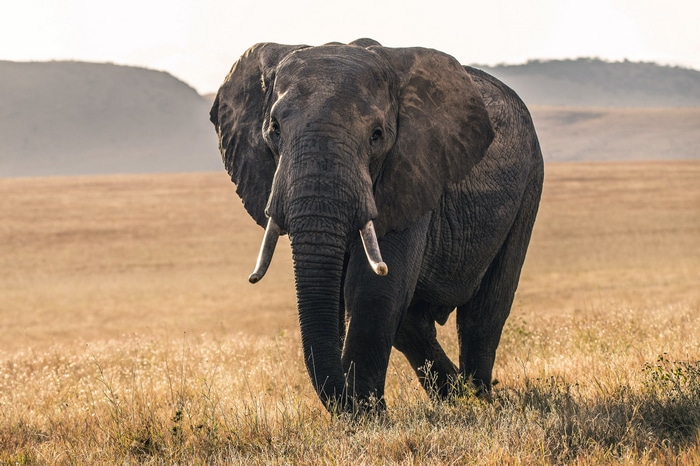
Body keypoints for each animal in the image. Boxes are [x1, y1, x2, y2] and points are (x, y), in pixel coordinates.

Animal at [210, 38, 543, 413]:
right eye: (274, 129)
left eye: (377, 135)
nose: (348, 400)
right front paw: (364, 412)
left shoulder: (411, 170)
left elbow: (374, 289)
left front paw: (368, 416)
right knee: (413, 324)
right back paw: (455, 398)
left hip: (530, 182)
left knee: (483, 313)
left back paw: (479, 401)